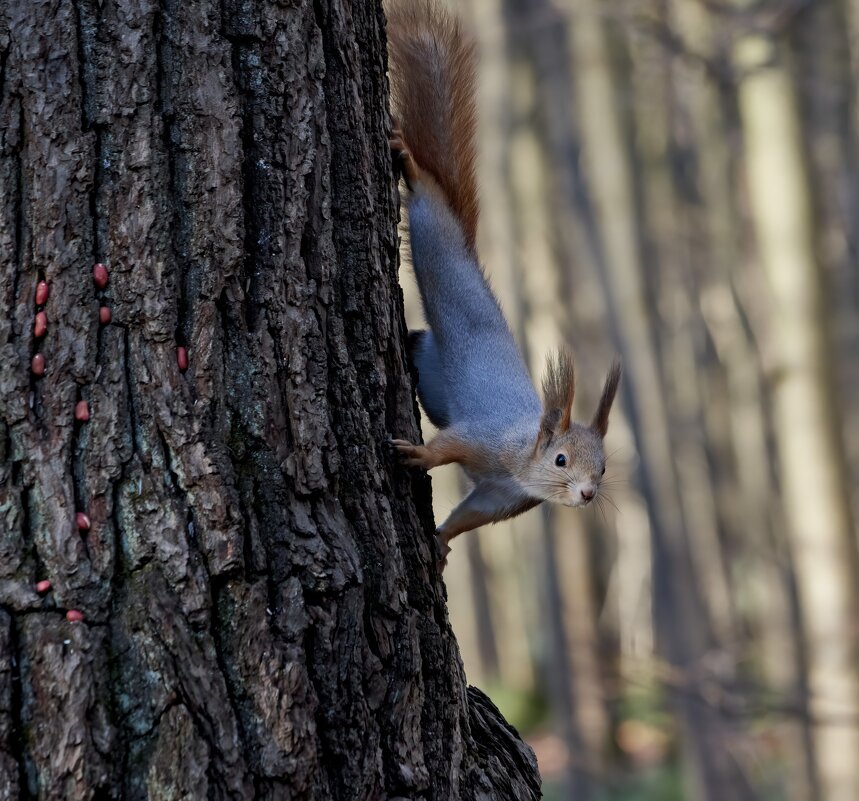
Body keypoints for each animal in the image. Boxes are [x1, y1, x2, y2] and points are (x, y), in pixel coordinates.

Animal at [386, 1, 620, 568]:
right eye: (561, 460)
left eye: (604, 468)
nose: (587, 494)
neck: (523, 460)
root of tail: (472, 250)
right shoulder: (484, 440)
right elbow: (448, 446)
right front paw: (418, 453)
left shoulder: (500, 498)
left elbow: (468, 516)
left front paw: (442, 541)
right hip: (437, 244)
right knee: (430, 201)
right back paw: (410, 163)